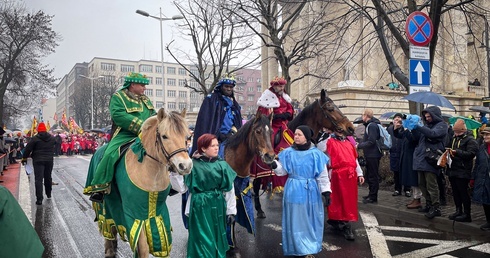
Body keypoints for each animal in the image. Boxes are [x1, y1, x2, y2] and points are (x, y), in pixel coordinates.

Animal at [89, 109, 191, 258]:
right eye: (164, 136)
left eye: (187, 137)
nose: (185, 166)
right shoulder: (136, 216)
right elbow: (143, 248)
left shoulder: (159, 214)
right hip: (103, 206)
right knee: (108, 227)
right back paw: (110, 250)